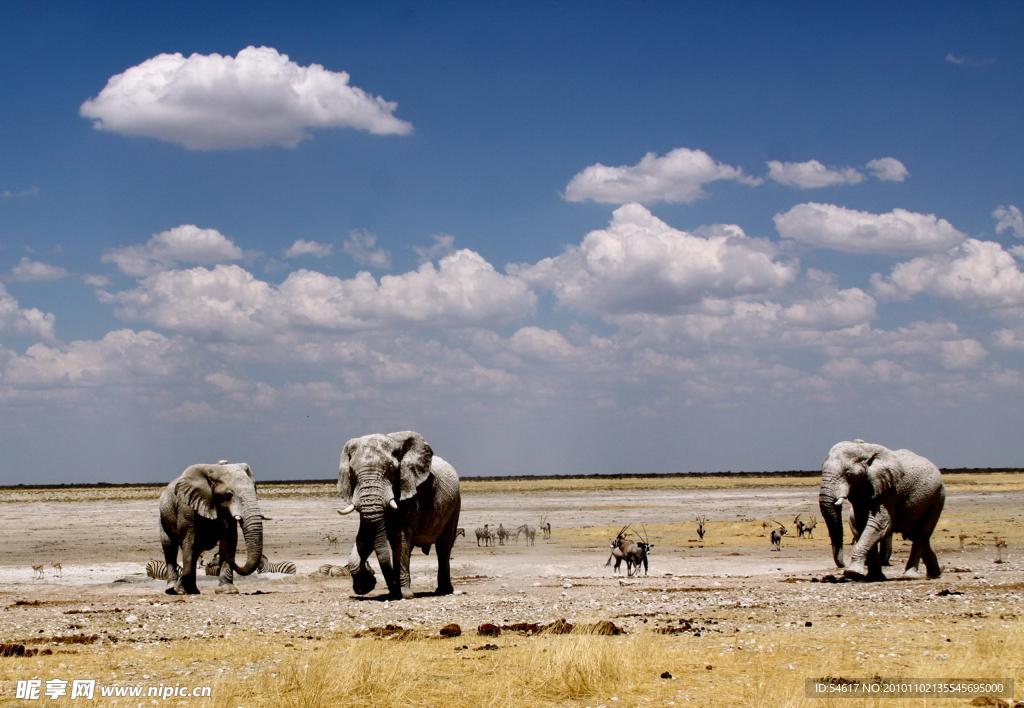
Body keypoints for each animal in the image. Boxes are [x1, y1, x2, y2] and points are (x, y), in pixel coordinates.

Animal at [158, 463, 264, 594]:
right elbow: (189, 540)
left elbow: (229, 539)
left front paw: (227, 590)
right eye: (229, 494)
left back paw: (193, 590)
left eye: (255, 489)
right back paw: (172, 589)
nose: (233, 560)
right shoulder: (186, 507)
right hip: (163, 517)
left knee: (195, 551)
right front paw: (181, 591)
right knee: (170, 548)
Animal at [335, 428, 460, 602]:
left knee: (443, 547)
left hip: (455, 505)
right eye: (352, 472)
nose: (392, 591)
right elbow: (365, 537)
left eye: (390, 470)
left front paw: (406, 595)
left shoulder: (410, 492)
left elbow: (399, 538)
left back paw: (443, 591)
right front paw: (365, 587)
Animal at [819, 440, 946, 586]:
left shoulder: (889, 489)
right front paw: (874, 577)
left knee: (921, 534)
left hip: (937, 498)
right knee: (915, 535)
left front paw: (853, 573)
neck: (864, 450)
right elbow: (863, 524)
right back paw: (936, 573)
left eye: (848, 474)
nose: (843, 564)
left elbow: (879, 524)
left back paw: (911, 576)